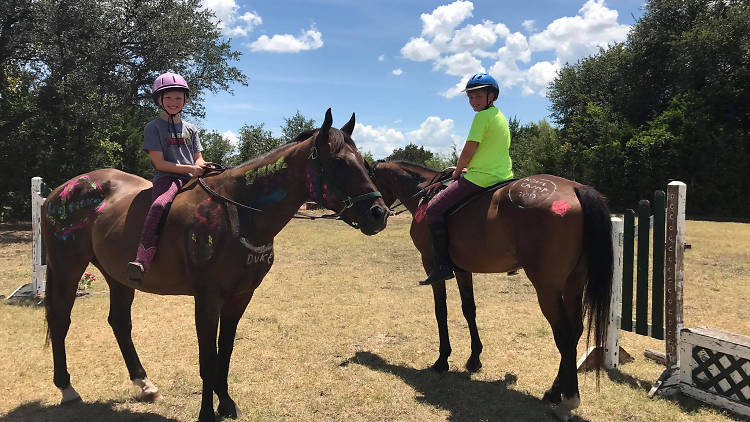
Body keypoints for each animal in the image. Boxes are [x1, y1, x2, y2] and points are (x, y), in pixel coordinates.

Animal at [42, 109, 388, 422]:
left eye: (365, 164)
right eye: (340, 162)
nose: (379, 213)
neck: (238, 211)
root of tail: (59, 192)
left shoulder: (240, 296)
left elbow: (226, 350)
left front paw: (226, 403)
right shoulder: (207, 298)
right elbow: (208, 356)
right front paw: (207, 412)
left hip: (118, 277)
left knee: (119, 322)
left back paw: (144, 383)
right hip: (67, 267)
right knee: (60, 320)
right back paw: (67, 389)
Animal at [368, 160, 612, 420]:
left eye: (368, 177)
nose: (377, 215)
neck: (424, 191)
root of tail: (575, 189)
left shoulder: (431, 264)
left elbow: (441, 311)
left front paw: (442, 360)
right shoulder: (463, 270)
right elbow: (469, 309)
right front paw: (474, 359)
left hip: (547, 288)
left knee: (563, 335)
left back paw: (567, 400)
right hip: (573, 283)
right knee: (575, 331)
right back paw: (554, 391)